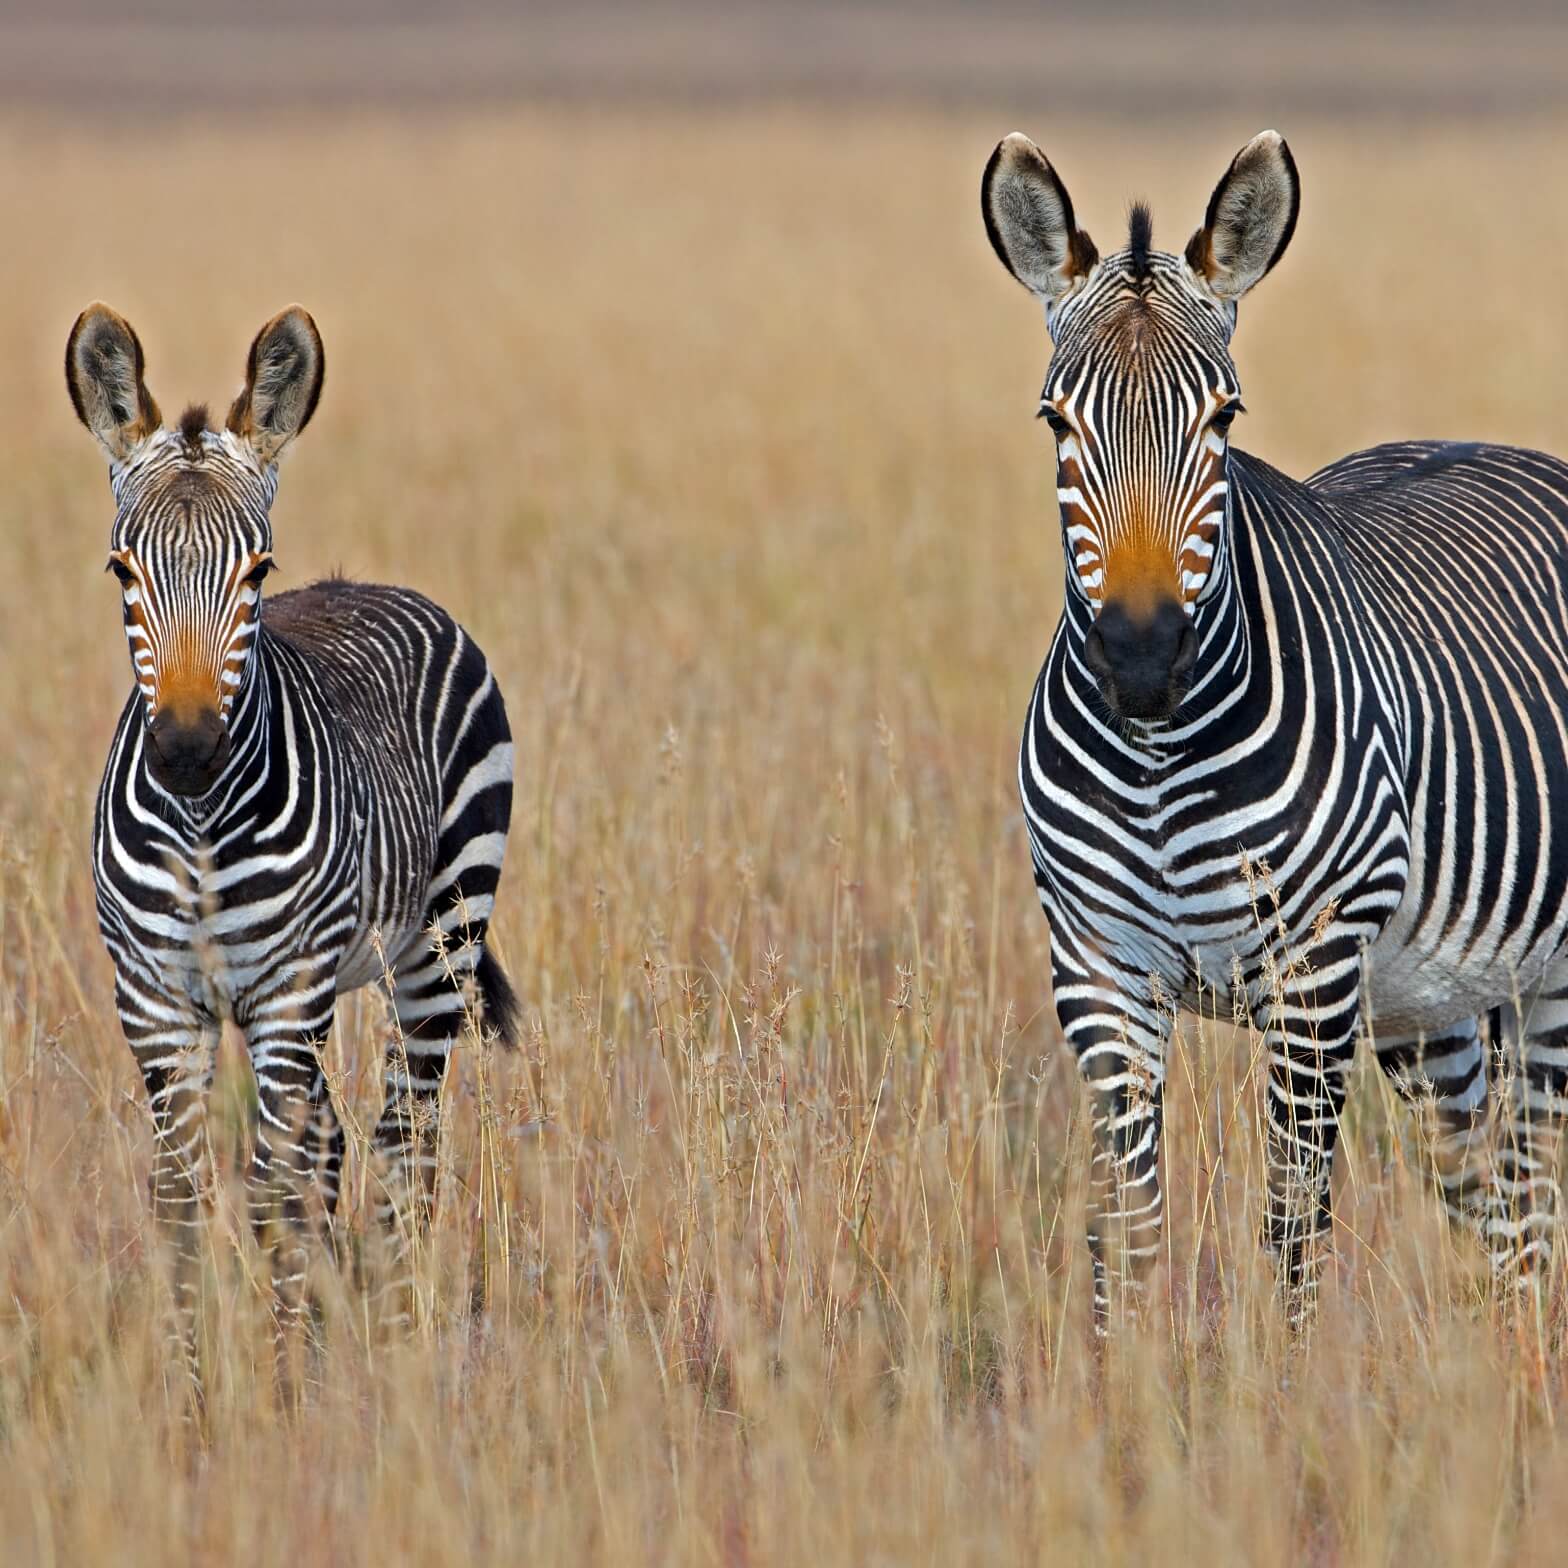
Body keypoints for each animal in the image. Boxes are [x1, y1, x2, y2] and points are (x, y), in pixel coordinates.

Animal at [68, 299, 520, 1379]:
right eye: (121, 569)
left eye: (257, 569)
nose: (189, 750)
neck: (199, 828)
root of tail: (373, 585)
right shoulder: (155, 1003)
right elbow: (184, 1204)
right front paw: (194, 1401)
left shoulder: (285, 996)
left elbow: (273, 1198)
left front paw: (279, 1397)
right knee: (339, 1146)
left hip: (437, 946)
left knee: (405, 1145)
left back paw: (395, 1349)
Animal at [984, 128, 1568, 1323]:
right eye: (1056, 422)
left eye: (1223, 419)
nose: (1140, 660)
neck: (1159, 761)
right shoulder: (1097, 971)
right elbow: (1126, 1234)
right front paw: (1125, 1375)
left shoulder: (1311, 975)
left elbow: (1291, 1233)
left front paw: (1276, 1377)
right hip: (1426, 1006)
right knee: (1485, 1197)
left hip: (1535, 981)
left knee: (1532, 1195)